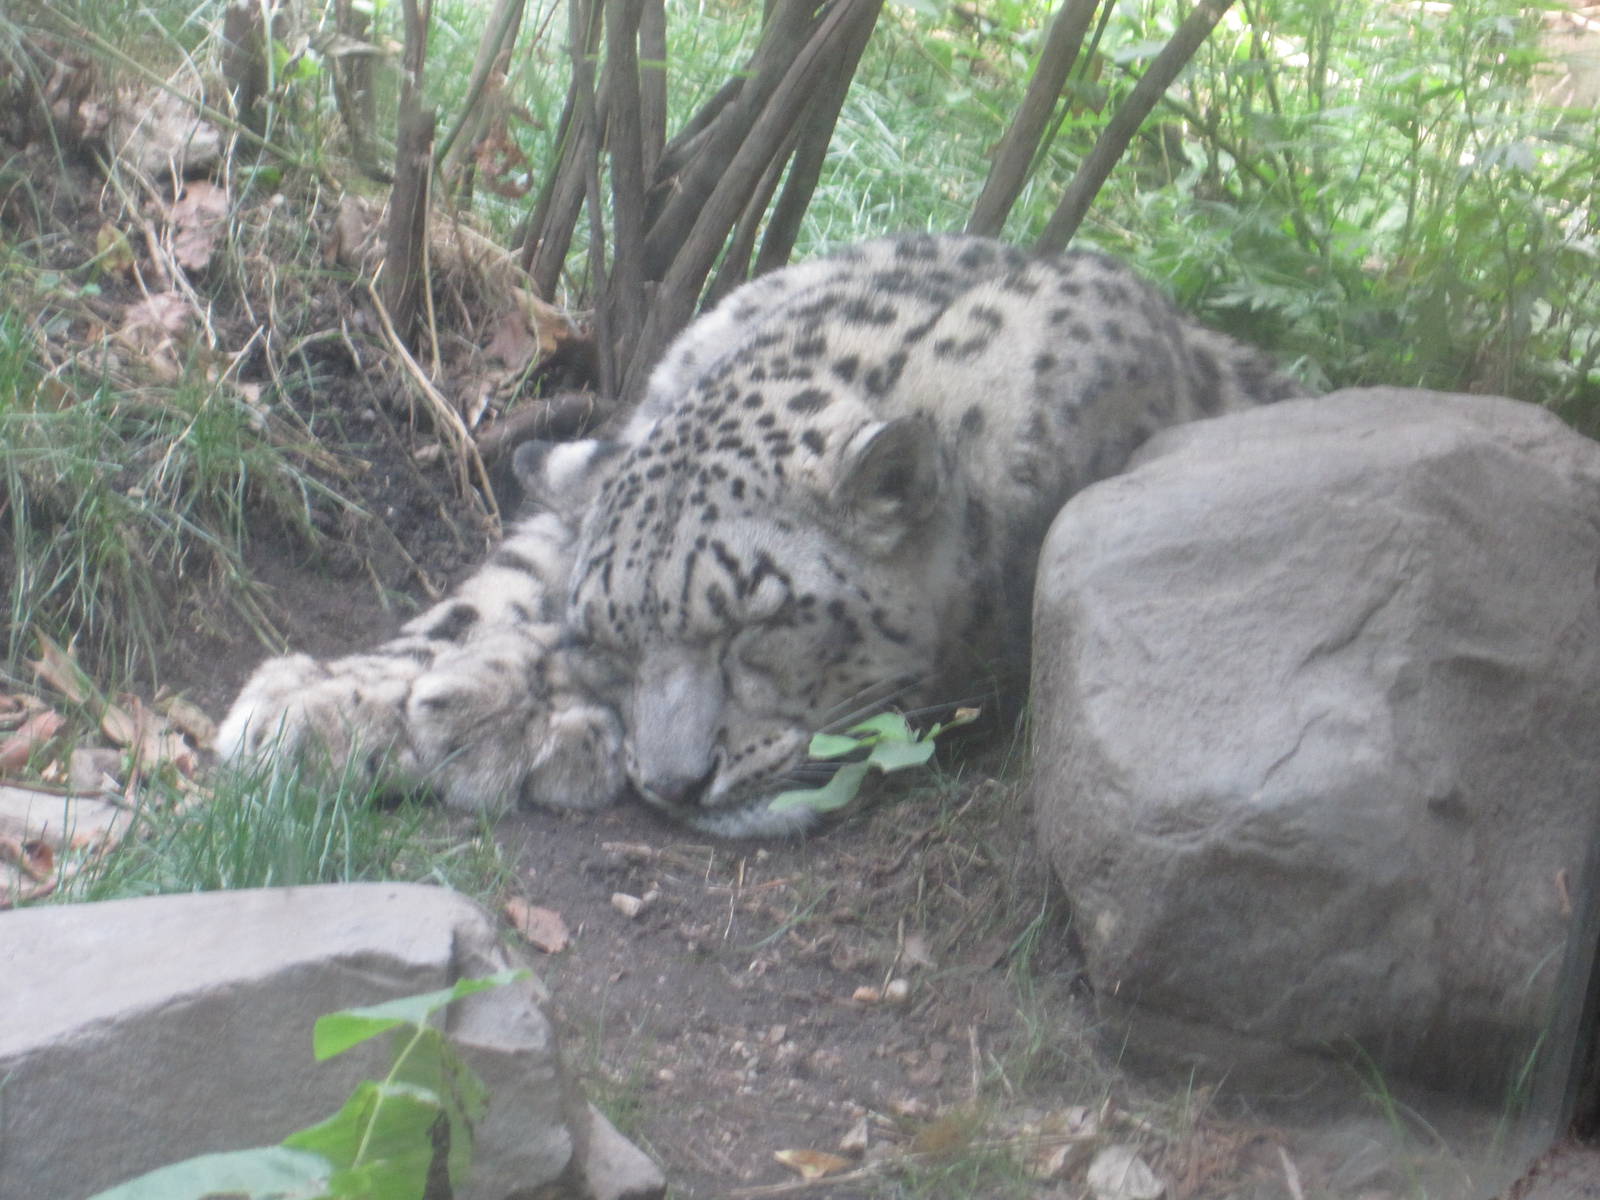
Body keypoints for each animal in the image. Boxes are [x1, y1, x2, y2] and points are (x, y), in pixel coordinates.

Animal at [218, 233, 1307, 836]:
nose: (676, 783)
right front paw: (318, 700)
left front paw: (473, 709)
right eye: (617, 639)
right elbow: (498, 588)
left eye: (757, 627)